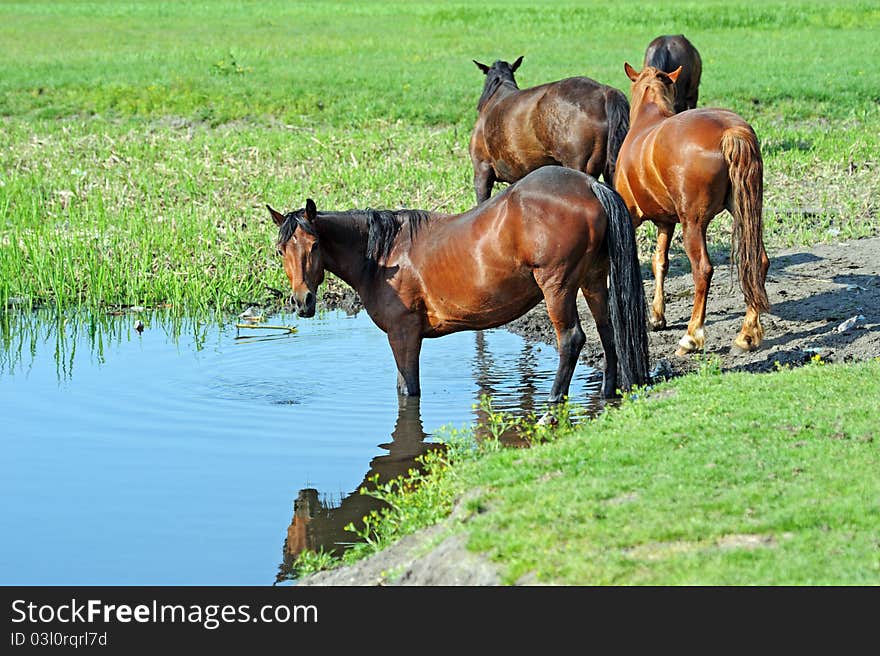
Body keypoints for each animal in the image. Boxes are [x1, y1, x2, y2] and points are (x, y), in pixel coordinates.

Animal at [268, 165, 648, 400]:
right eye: (280, 250)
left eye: (315, 245)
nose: (302, 301)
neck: (382, 257)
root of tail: (589, 185)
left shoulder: (403, 334)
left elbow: (408, 390)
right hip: (594, 279)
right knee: (607, 331)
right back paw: (606, 393)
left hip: (558, 287)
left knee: (571, 339)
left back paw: (554, 399)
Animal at [612, 64, 768, 356]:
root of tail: (731, 131)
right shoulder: (666, 221)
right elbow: (660, 262)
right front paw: (657, 316)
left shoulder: (631, 216)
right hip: (743, 212)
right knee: (758, 261)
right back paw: (747, 334)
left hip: (693, 224)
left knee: (703, 270)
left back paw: (691, 337)